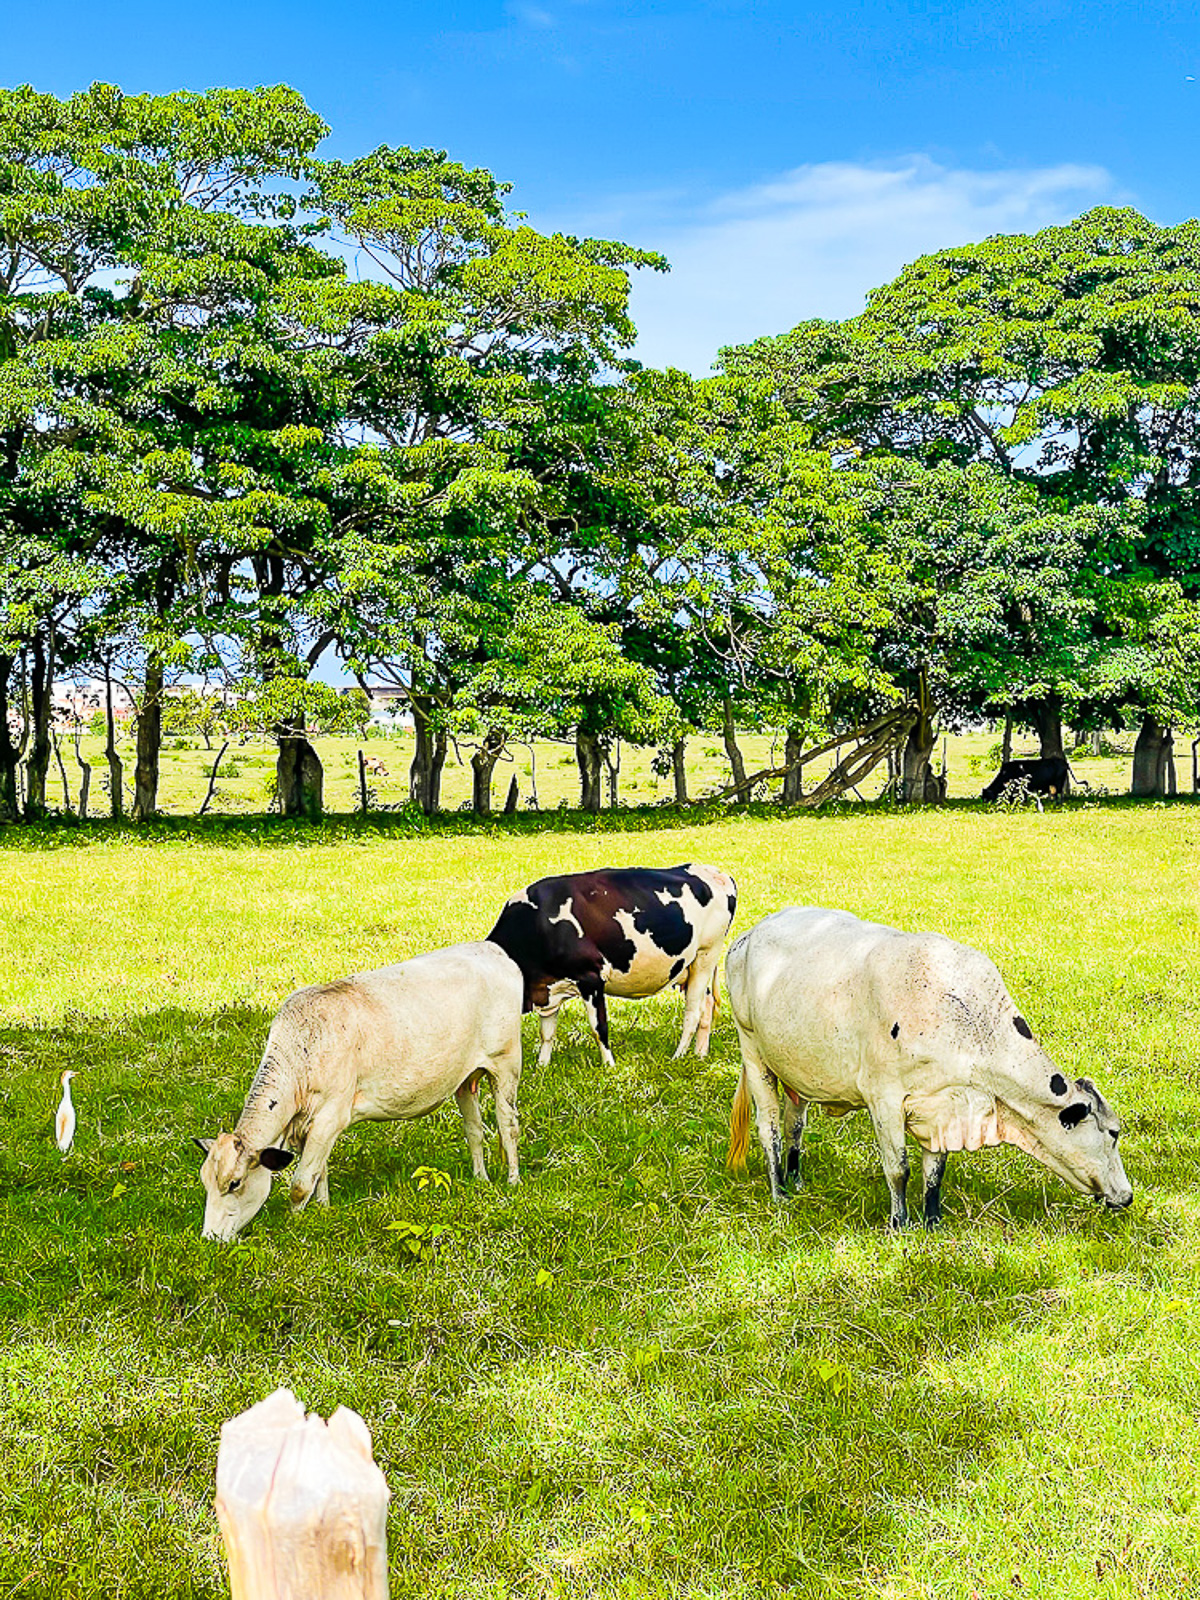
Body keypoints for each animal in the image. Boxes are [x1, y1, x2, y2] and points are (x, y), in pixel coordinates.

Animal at [194, 942, 524, 1241]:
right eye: (205, 1182)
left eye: (234, 1183)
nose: (209, 1238)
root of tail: (492, 950)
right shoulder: (312, 1126)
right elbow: (319, 1171)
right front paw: (323, 1208)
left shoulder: (330, 1116)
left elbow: (301, 1183)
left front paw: (294, 1225)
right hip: (465, 1079)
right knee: (475, 1130)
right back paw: (480, 1179)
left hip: (506, 1065)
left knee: (508, 1126)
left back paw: (513, 1180)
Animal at [487, 863, 738, 1068]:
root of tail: (717, 872)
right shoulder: (547, 988)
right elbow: (546, 1033)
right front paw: (542, 1066)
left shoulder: (590, 977)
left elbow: (599, 1028)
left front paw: (609, 1066)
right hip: (691, 967)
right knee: (707, 1005)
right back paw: (699, 1055)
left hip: (706, 954)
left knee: (693, 1012)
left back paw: (678, 1056)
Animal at [725, 906, 1131, 1228]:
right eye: (1113, 1133)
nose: (1127, 1196)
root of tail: (748, 935)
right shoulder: (884, 1097)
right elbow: (898, 1168)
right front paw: (899, 1223)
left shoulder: (943, 1106)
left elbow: (934, 1171)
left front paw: (932, 1221)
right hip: (753, 1051)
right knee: (770, 1128)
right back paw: (779, 1191)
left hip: (797, 1070)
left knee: (795, 1123)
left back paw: (796, 1180)